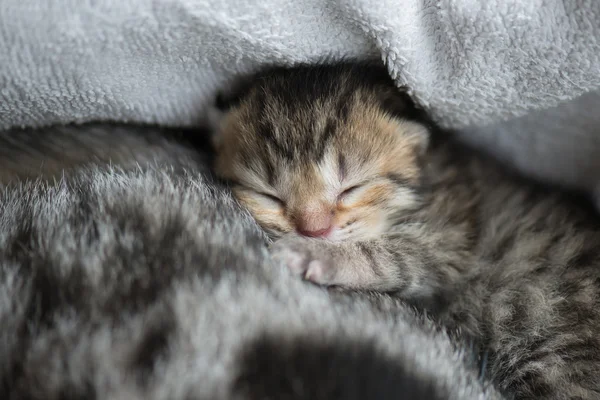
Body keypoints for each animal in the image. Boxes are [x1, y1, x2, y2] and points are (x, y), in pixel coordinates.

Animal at [213, 60, 600, 400]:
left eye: (351, 188)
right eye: (268, 196)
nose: (314, 231)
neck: (429, 178)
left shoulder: (447, 241)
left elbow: (383, 256)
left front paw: (314, 253)